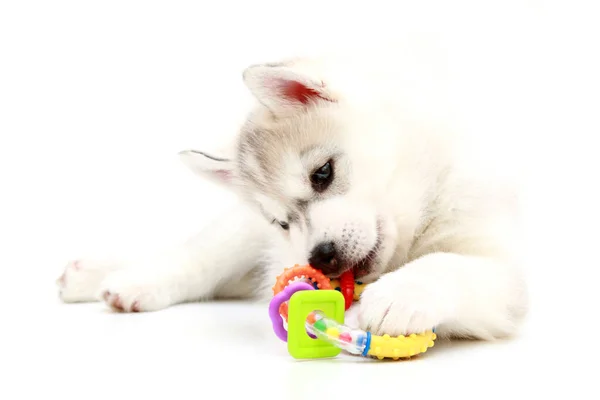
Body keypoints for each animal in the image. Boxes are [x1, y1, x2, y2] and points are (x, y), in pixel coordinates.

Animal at [56, 53, 524, 340]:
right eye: (282, 221)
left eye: (323, 174)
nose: (321, 257)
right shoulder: (268, 237)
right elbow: (204, 256)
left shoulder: (509, 268)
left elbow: (447, 263)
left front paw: (398, 296)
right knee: (199, 251)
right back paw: (113, 276)